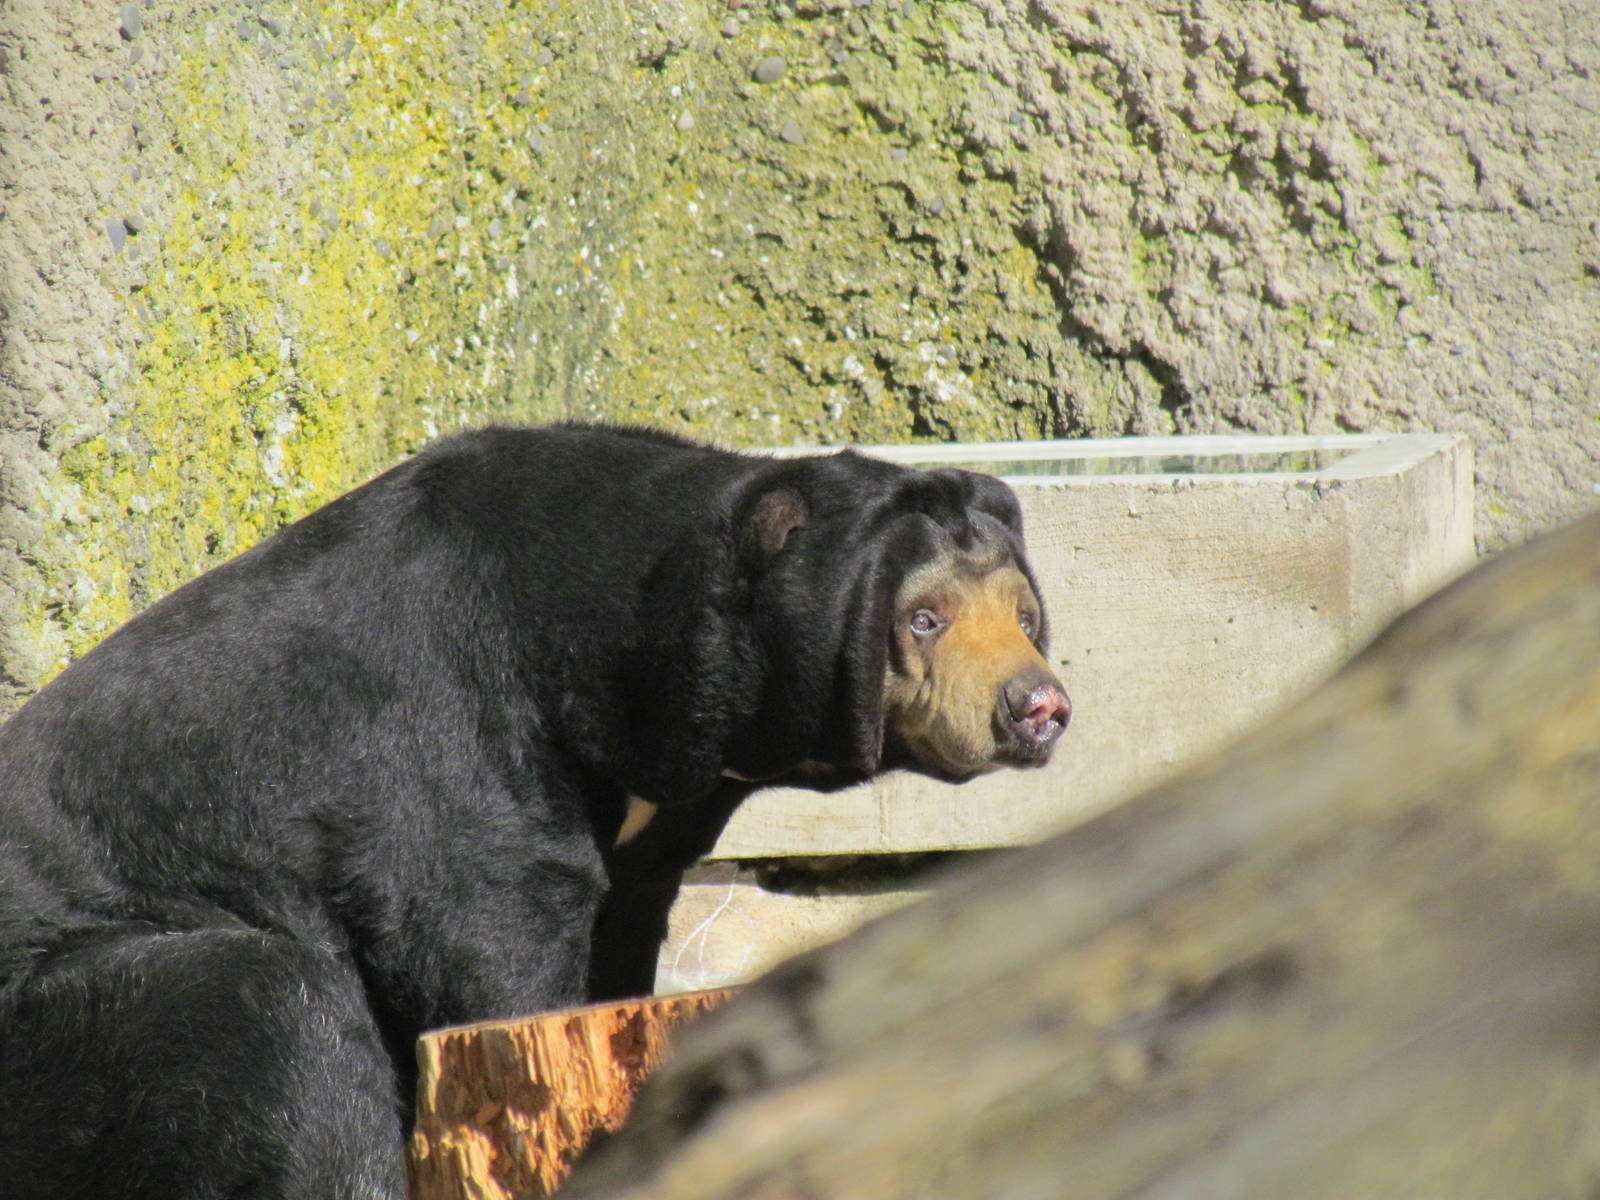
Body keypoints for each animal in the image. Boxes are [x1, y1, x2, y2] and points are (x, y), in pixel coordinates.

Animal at [0, 423, 1070, 1199]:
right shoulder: (444, 729)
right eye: (922, 618)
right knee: (268, 1014)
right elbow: (480, 921)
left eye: (1024, 618)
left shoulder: (656, 821)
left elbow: (620, 929)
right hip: (60, 1018)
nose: (1038, 706)